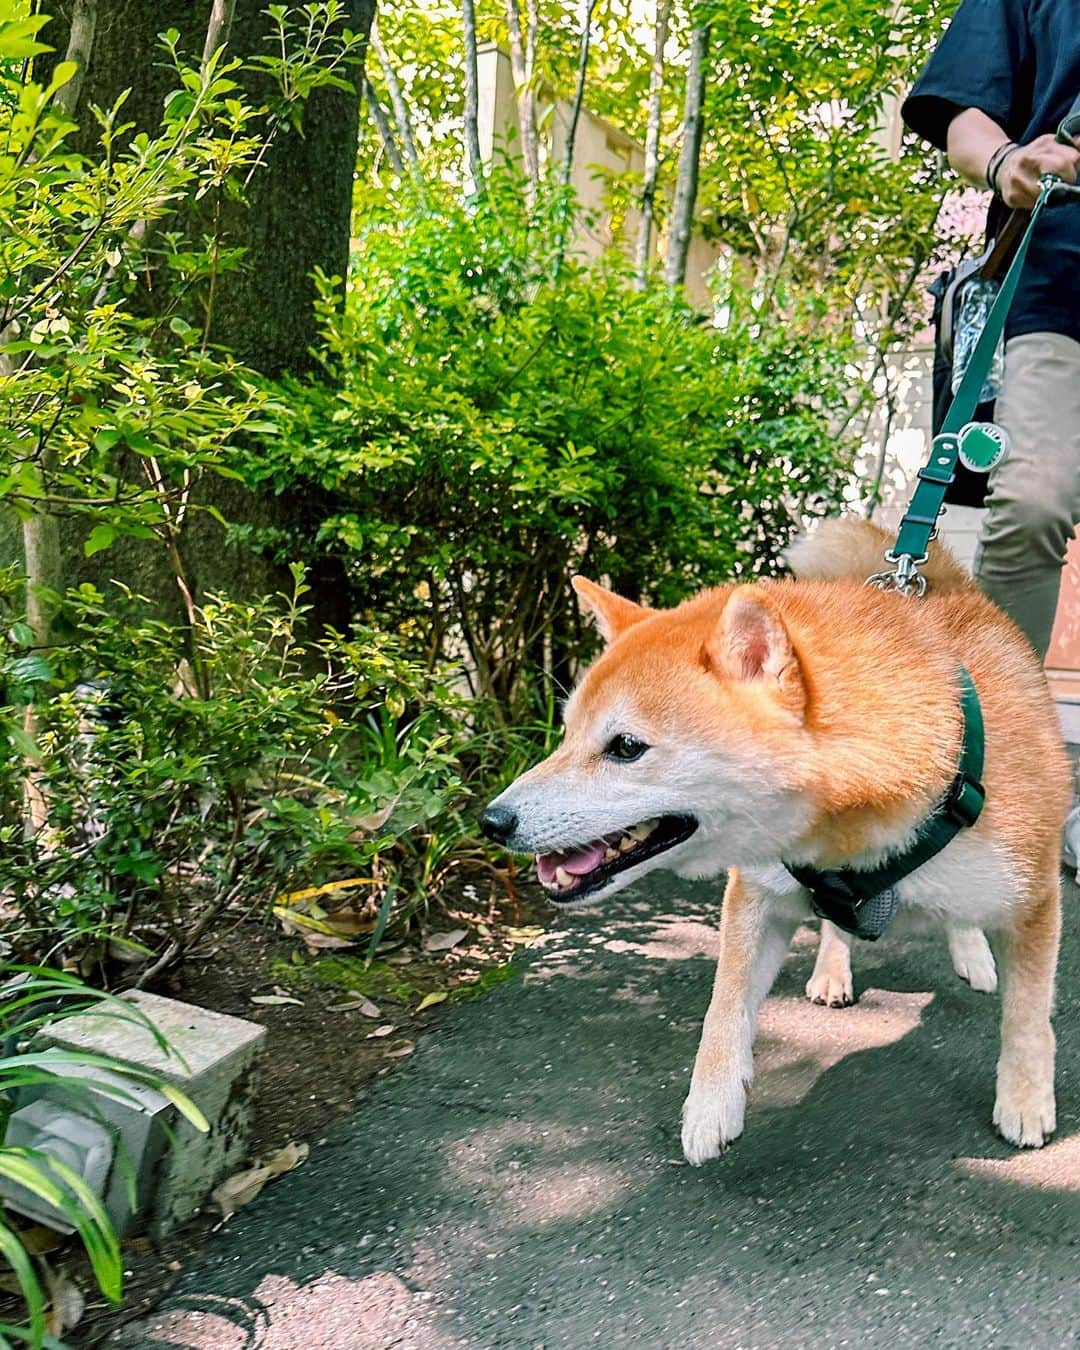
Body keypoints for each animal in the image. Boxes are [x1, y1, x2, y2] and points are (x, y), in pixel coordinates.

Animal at [483, 521, 1069, 1166]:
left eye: (626, 747)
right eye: (565, 735)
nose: (492, 821)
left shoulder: (1035, 897)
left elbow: (1028, 1018)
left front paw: (1025, 1098)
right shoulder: (758, 892)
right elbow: (725, 1007)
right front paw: (711, 1104)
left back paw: (970, 953)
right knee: (836, 924)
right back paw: (834, 970)